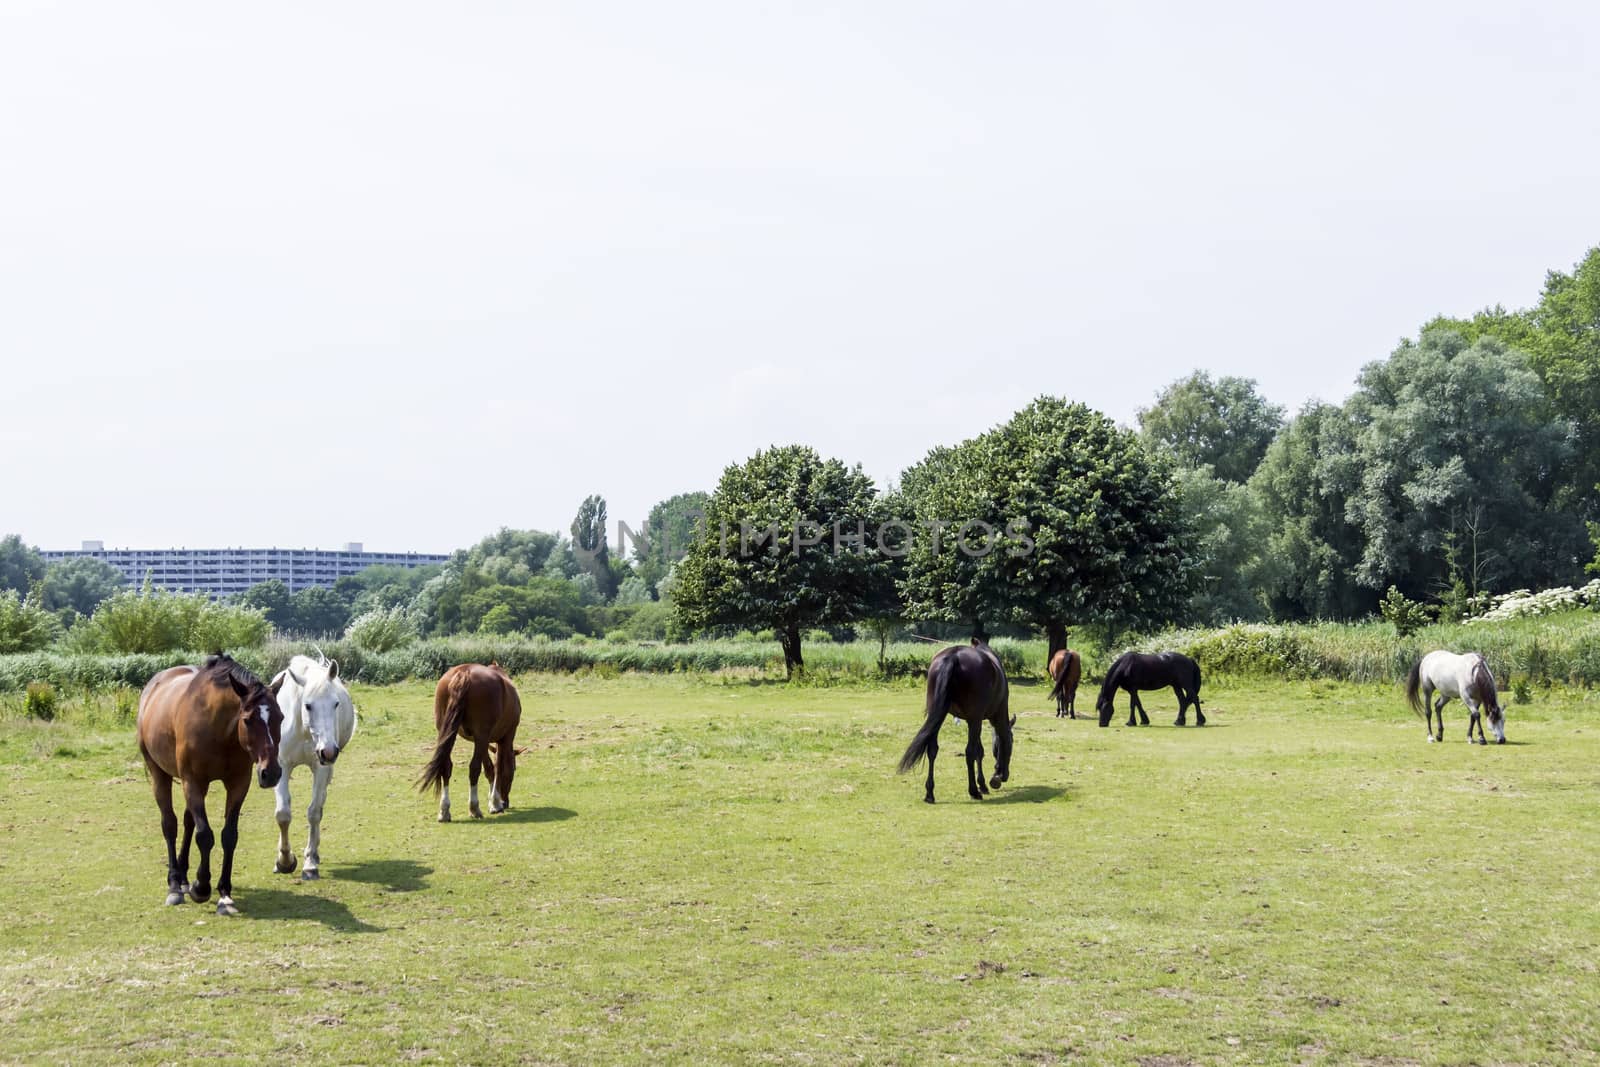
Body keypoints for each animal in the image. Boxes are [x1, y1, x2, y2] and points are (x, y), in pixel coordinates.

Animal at [137, 655, 284, 915]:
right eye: (247, 720)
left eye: (281, 717)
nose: (272, 772)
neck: (220, 730)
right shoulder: (193, 782)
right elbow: (205, 835)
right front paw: (201, 888)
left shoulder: (238, 784)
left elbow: (229, 836)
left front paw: (224, 893)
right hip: (160, 774)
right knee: (170, 824)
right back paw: (175, 884)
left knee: (187, 822)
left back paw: (184, 878)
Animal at [268, 655, 356, 883]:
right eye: (308, 705)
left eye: (336, 704)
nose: (329, 751)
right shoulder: (281, 766)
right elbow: (283, 813)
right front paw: (284, 861)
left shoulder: (321, 768)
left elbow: (314, 812)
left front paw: (309, 864)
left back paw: (314, 854)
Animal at [416, 662, 521, 825]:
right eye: (514, 771)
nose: (506, 803)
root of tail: (464, 672)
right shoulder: (505, 737)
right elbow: (498, 768)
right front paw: (495, 803)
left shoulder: (483, 742)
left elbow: (489, 769)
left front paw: (492, 802)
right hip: (482, 735)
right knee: (474, 768)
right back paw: (474, 808)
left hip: (447, 732)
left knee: (446, 767)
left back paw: (444, 811)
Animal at [896, 639, 1017, 806]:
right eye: (1013, 743)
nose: (1004, 776)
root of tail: (954, 656)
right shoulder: (984, 718)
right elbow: (979, 751)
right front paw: (983, 785)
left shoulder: (972, 721)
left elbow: (979, 751)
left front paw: (983, 784)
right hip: (973, 719)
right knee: (969, 752)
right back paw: (973, 791)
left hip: (939, 715)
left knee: (932, 749)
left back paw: (930, 793)